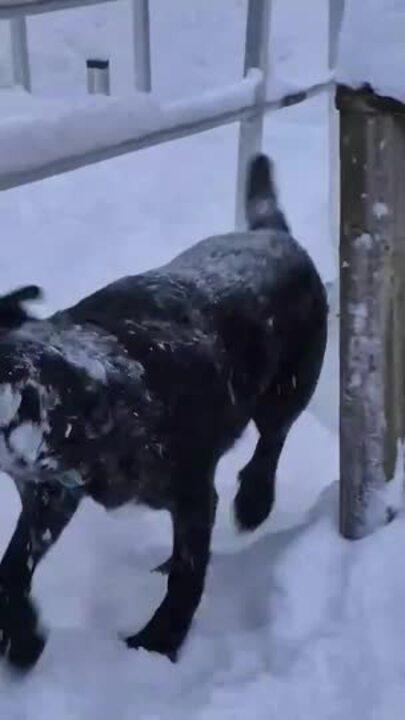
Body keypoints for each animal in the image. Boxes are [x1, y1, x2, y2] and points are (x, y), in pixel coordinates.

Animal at [0, 156, 326, 668]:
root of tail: (274, 235)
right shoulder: (49, 499)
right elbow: (11, 570)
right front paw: (24, 638)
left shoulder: (190, 493)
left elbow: (187, 580)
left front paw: (158, 642)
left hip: (287, 390)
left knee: (272, 442)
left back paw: (254, 501)